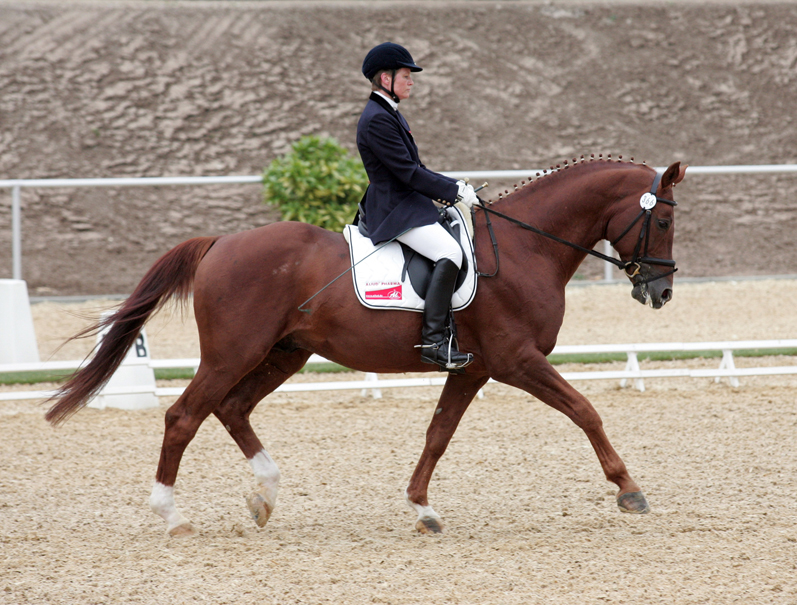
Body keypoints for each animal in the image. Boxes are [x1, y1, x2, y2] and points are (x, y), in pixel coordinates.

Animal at [48, 159, 684, 532]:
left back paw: (264, 497)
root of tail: (220, 243)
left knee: (232, 408)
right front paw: (629, 490)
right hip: (233, 353)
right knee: (185, 415)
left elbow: (438, 433)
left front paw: (423, 508)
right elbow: (585, 410)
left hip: (284, 353)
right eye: (664, 222)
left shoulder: (473, 369)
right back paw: (172, 515)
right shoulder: (517, 361)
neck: (527, 248)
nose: (662, 291)